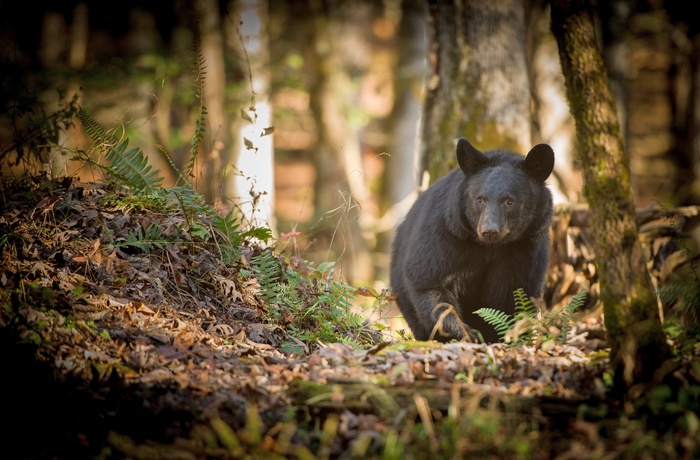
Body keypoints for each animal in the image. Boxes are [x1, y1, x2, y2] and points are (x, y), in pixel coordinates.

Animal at [388, 138, 552, 344]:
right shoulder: (445, 233)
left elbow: (512, 294)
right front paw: (465, 333)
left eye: (509, 201)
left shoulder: (525, 249)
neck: (490, 247)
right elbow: (429, 281)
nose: (489, 231)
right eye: (479, 199)